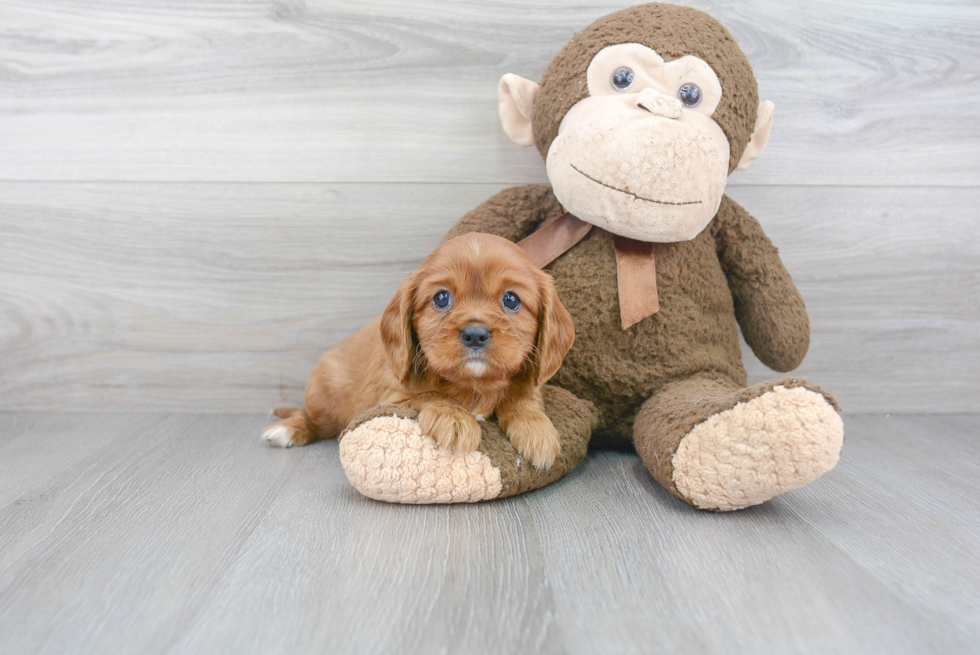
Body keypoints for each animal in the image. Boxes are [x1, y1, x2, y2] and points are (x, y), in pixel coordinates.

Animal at [264, 233, 580, 468]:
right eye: (441, 298)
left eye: (511, 300)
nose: (475, 334)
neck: (475, 385)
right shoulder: (392, 397)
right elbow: (432, 395)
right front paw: (454, 418)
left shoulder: (528, 380)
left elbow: (522, 397)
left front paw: (536, 430)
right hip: (324, 397)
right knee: (313, 420)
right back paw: (286, 430)